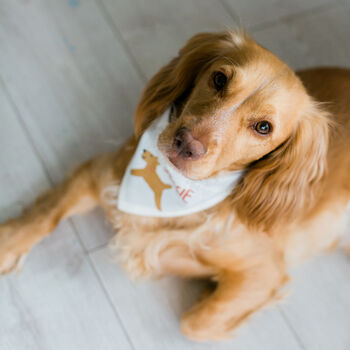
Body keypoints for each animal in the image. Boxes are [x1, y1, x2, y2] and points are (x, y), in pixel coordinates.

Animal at [0, 30, 350, 342]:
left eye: (263, 127)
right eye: (219, 79)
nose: (187, 144)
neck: (179, 194)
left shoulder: (263, 271)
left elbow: (196, 322)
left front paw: (207, 292)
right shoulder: (100, 173)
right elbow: (45, 214)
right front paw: (8, 242)